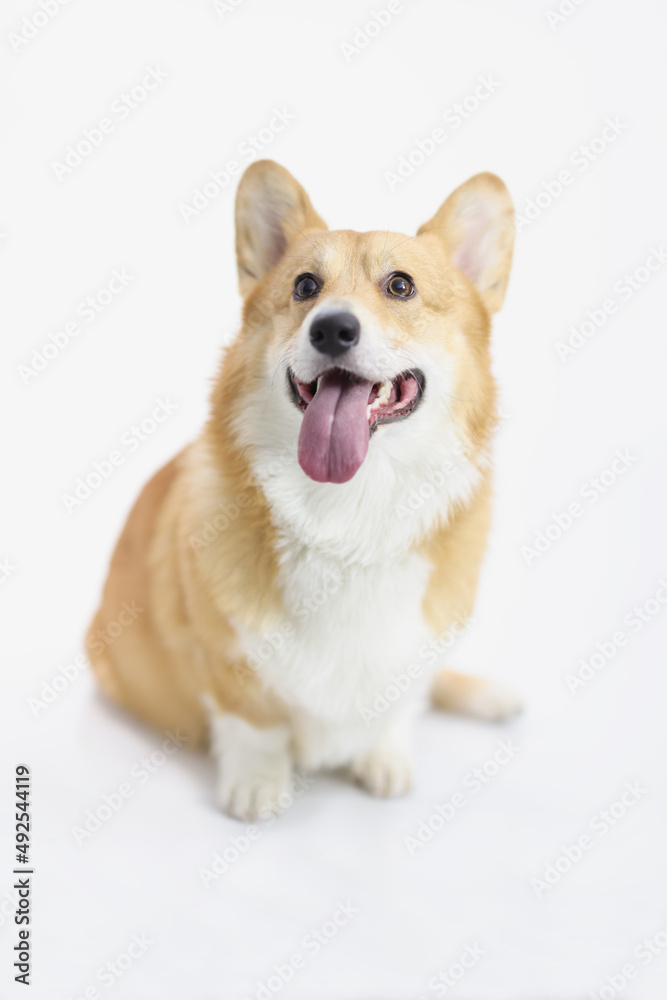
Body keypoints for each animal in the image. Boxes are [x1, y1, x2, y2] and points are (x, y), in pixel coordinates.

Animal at [86, 158, 520, 820]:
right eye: (305, 286)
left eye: (401, 286)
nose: (333, 328)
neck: (350, 516)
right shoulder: (227, 659)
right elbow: (255, 722)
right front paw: (258, 784)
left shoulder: (418, 644)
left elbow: (399, 702)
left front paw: (384, 758)